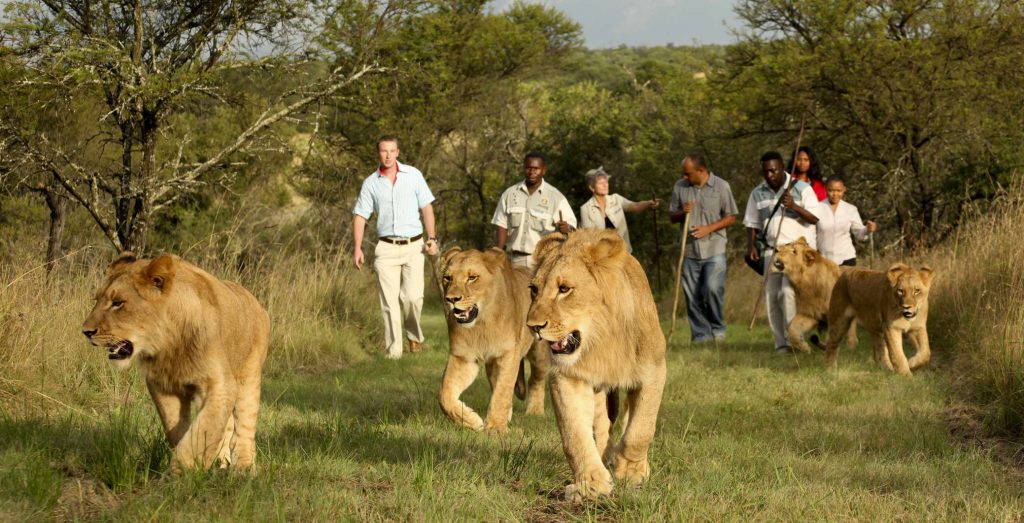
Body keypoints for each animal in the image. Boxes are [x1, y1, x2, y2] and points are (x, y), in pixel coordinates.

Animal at [81, 252, 270, 471]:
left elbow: (203, 429)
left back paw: (244, 467)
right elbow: (179, 429)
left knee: (245, 427)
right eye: (97, 300)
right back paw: (221, 462)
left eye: (118, 303)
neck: (169, 345)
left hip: (249, 378)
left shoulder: (220, 385)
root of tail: (255, 301)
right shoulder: (163, 386)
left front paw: (182, 471)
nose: (86, 331)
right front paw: (194, 463)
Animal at [438, 247, 549, 432]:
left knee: (536, 380)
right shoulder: (463, 357)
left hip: (539, 354)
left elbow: (503, 390)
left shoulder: (508, 354)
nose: (451, 299)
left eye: (472, 278)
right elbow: (444, 394)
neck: (481, 324)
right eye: (448, 278)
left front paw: (496, 427)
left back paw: (535, 411)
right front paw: (472, 421)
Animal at [526, 229, 666, 501]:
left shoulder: (654, 371)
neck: (601, 341)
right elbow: (574, 435)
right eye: (533, 290)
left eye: (564, 289)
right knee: (601, 428)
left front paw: (630, 471)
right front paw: (591, 484)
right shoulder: (567, 377)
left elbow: (641, 429)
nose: (533, 327)